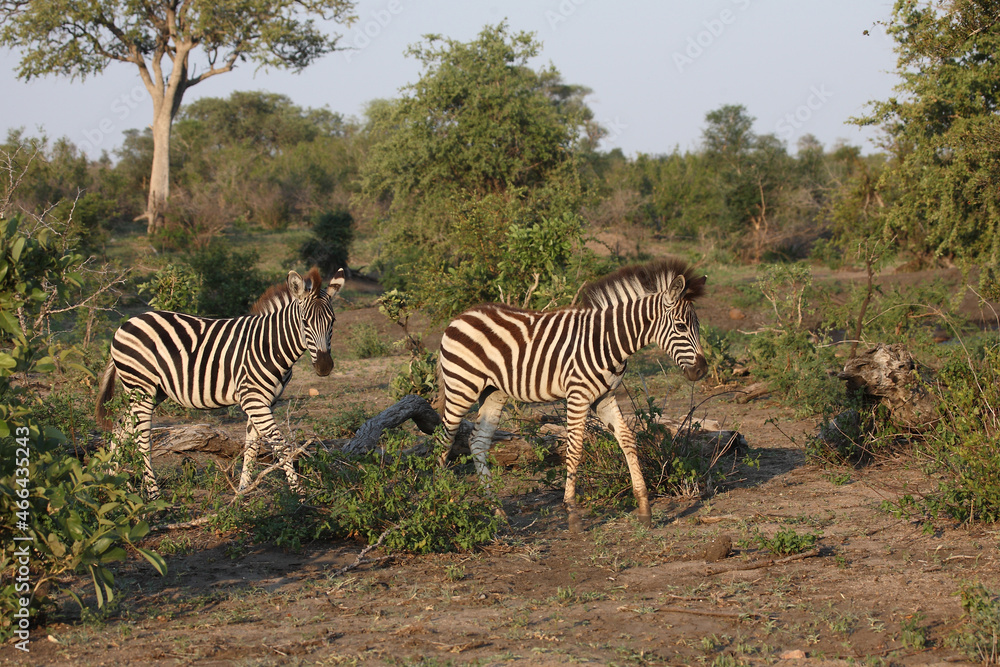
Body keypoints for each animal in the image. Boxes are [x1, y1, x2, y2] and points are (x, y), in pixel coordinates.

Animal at [95, 267, 345, 499]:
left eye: (332, 321)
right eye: (305, 322)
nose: (325, 367)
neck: (270, 345)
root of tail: (125, 324)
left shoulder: (265, 402)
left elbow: (251, 447)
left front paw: (243, 492)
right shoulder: (253, 400)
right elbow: (280, 444)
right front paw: (299, 493)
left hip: (152, 391)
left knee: (120, 427)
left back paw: (111, 485)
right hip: (142, 387)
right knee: (141, 440)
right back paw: (154, 494)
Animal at [437, 259, 707, 531]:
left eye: (697, 326)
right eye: (681, 327)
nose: (702, 370)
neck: (609, 341)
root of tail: (461, 316)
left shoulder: (605, 397)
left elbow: (628, 439)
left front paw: (644, 509)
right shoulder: (578, 395)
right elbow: (575, 448)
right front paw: (572, 512)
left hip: (493, 392)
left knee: (477, 442)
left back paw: (497, 510)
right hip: (462, 387)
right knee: (444, 438)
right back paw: (443, 502)